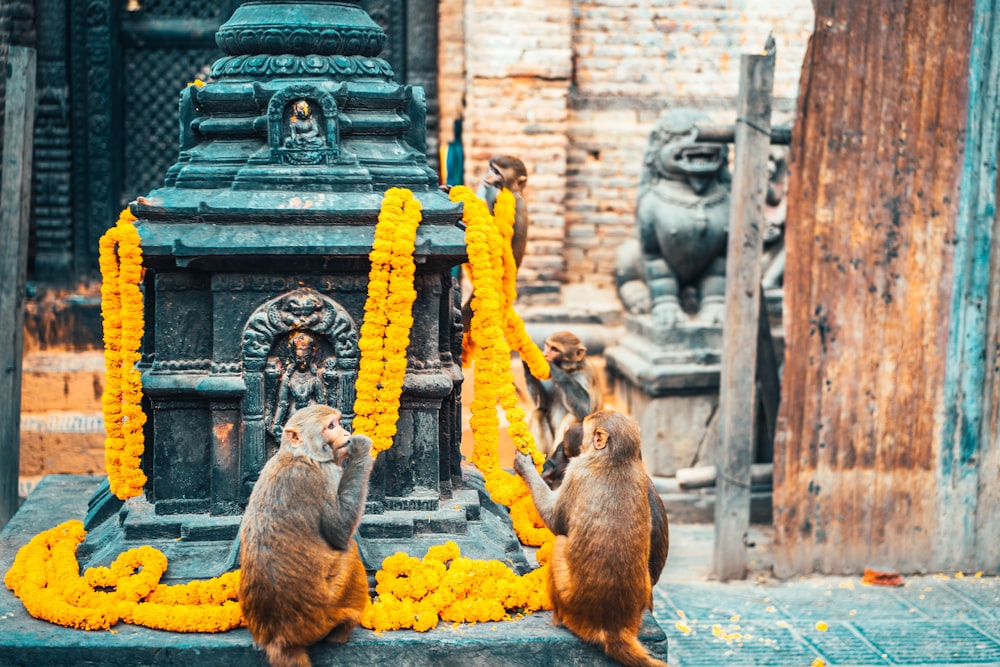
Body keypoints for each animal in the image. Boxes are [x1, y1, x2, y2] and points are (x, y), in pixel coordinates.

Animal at [240, 402, 374, 667]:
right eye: (331, 426)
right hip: (327, 611)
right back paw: (342, 632)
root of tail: (278, 639)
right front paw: (361, 448)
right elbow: (339, 532)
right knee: (350, 552)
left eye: (337, 423)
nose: (346, 434)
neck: (299, 454)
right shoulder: (326, 474)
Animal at [516, 412, 672, 667]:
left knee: (560, 541)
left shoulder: (576, 469)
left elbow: (555, 521)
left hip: (568, 600)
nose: (550, 466)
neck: (616, 460)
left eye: (568, 451)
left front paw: (525, 466)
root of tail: (611, 628)